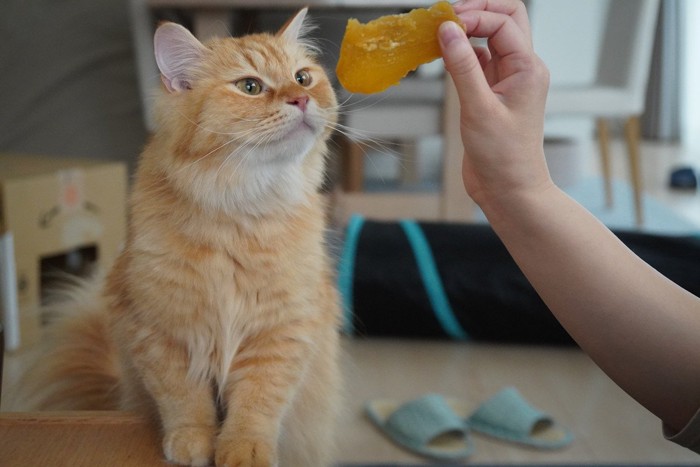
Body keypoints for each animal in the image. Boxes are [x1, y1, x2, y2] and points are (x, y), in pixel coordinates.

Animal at [15, 8, 344, 467]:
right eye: (250, 86)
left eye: (302, 77)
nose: (301, 99)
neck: (239, 211)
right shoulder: (161, 332)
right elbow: (184, 401)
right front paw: (193, 442)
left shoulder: (281, 332)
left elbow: (256, 405)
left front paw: (245, 450)